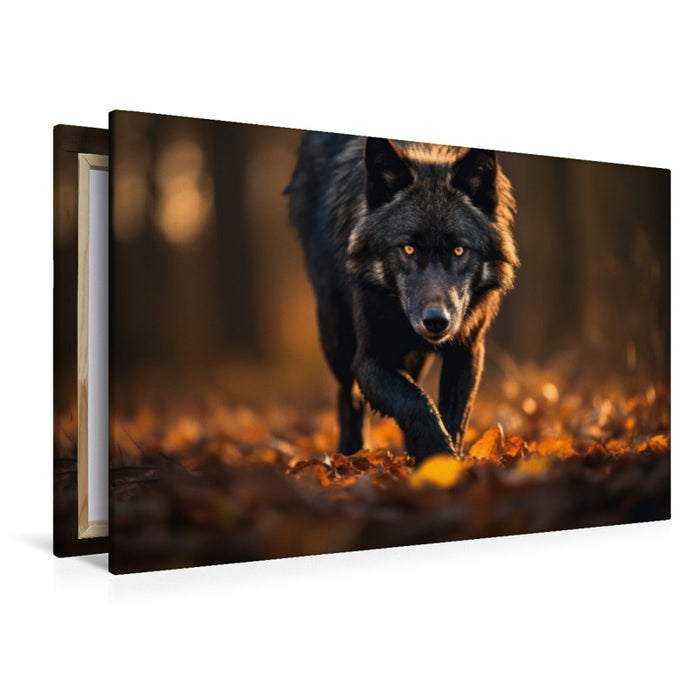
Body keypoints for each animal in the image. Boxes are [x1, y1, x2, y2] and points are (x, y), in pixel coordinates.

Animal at [286, 133, 518, 464]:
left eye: (459, 250)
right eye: (408, 249)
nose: (436, 322)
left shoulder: (467, 350)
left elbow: (451, 417)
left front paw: (441, 462)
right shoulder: (369, 358)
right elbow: (415, 403)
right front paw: (436, 457)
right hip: (336, 338)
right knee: (348, 395)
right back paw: (349, 453)